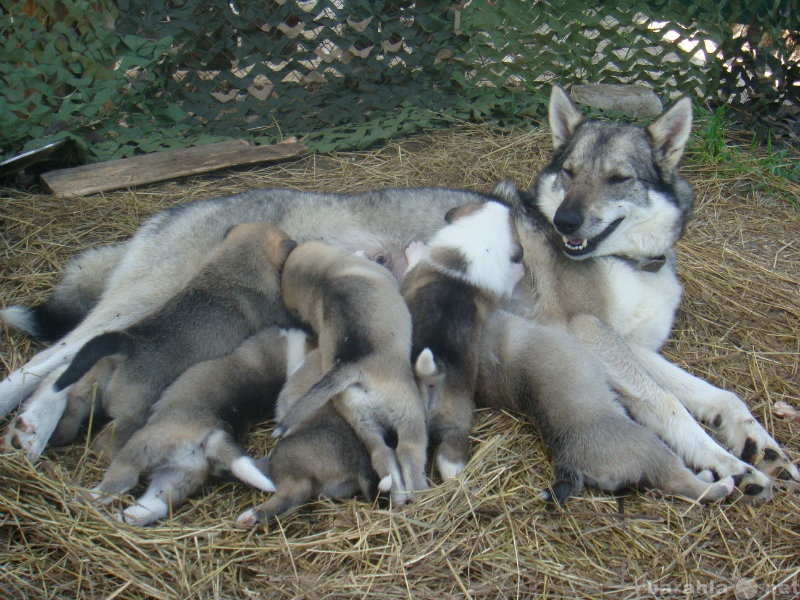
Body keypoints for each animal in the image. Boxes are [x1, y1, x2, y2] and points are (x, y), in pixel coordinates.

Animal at [50, 221, 300, 454]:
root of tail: (126, 346)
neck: (234, 267)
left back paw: (59, 436)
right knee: (105, 443)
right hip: (133, 412)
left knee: (74, 407)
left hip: (88, 384)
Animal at [90, 326, 310, 528]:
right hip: (176, 480)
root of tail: (208, 433)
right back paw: (122, 518)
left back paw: (94, 501)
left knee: (116, 486)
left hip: (140, 454)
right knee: (153, 507)